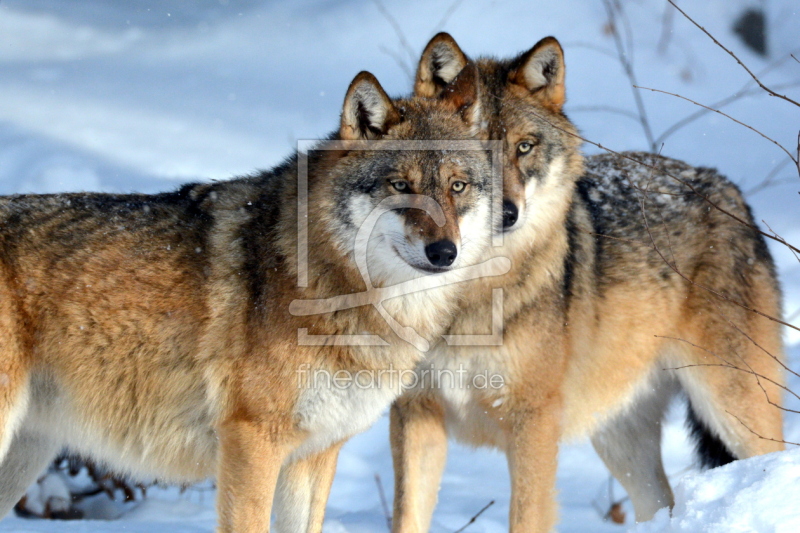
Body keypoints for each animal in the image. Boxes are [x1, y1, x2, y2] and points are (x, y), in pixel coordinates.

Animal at [390, 34, 784, 532]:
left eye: (524, 147)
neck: (468, 297)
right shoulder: (414, 412)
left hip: (737, 412)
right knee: (662, 502)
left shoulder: (533, 422)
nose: (505, 215)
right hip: (621, 438)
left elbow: (527, 517)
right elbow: (406, 516)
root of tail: (728, 189)